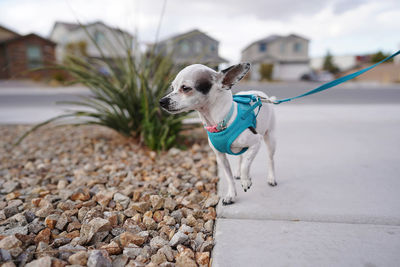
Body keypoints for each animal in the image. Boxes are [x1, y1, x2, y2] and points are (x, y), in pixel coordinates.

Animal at [158, 63, 276, 205]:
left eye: (185, 88)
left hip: (270, 139)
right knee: (241, 158)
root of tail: (260, 95)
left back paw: (271, 178)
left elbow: (246, 164)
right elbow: (229, 177)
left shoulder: (256, 143)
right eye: (172, 88)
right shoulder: (220, 157)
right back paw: (239, 174)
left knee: (270, 159)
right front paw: (231, 195)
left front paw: (245, 181)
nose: (162, 101)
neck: (221, 122)